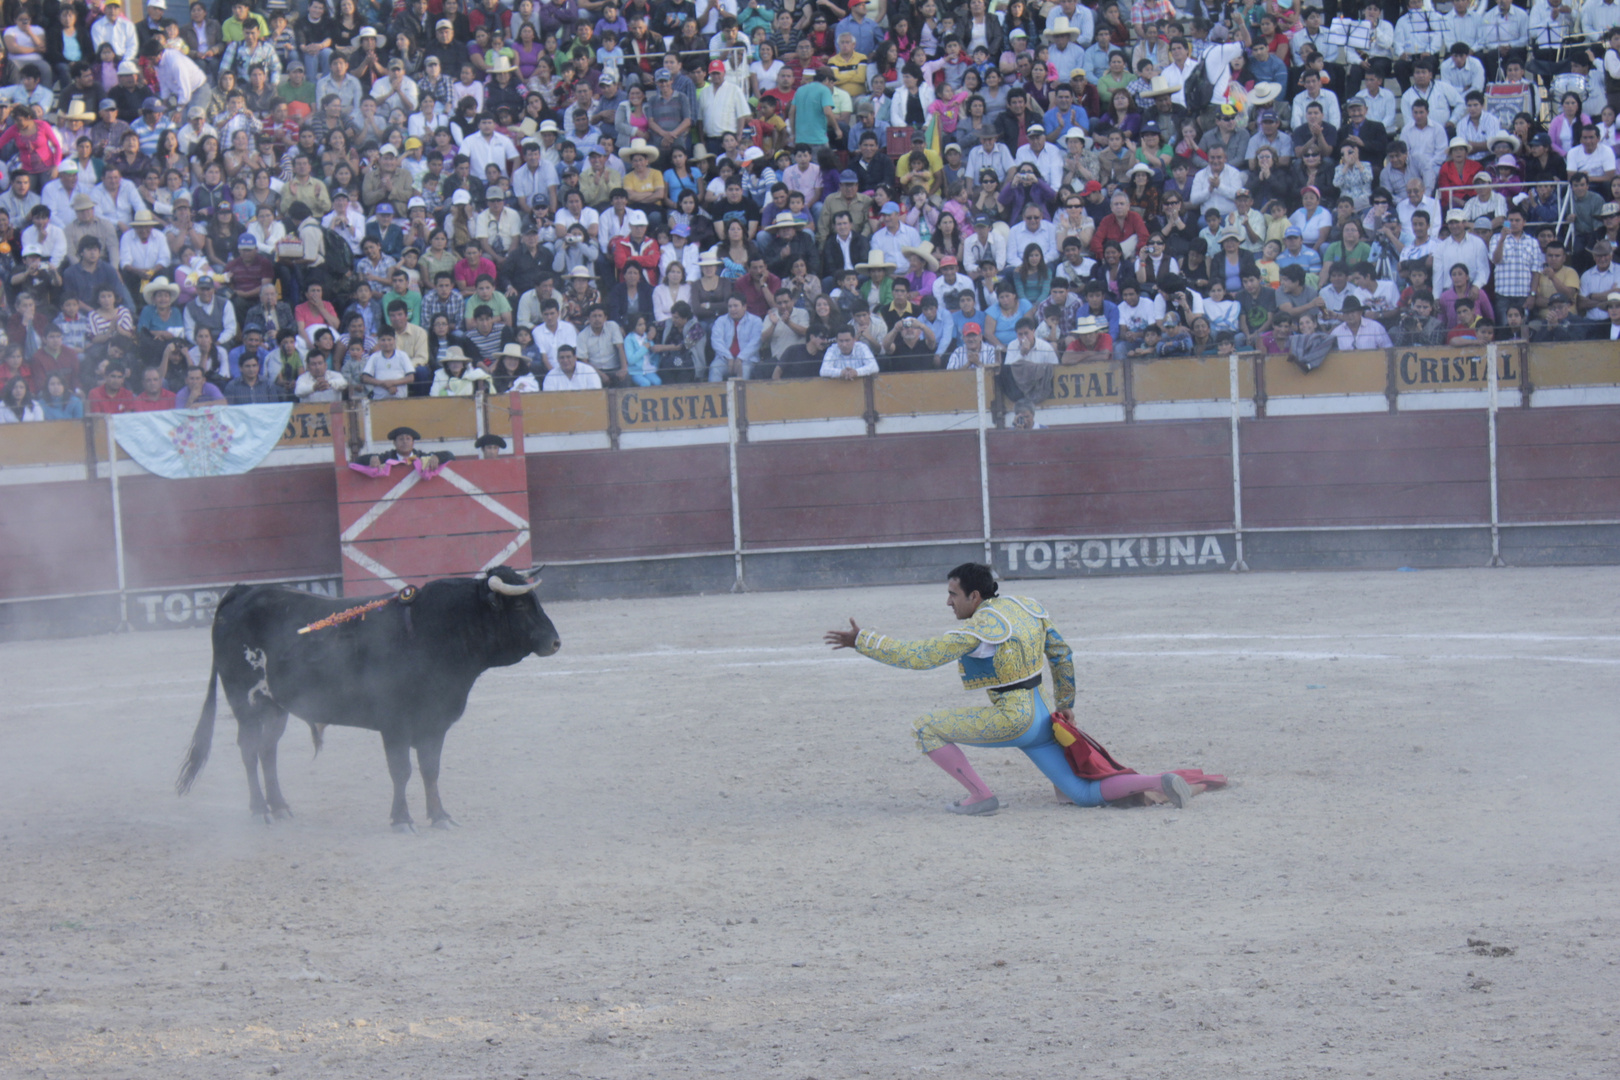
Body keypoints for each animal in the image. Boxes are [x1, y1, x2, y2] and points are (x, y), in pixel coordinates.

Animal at [176, 566, 563, 829]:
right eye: (519, 607)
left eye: (536, 601)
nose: (556, 642)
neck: (433, 631)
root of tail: (243, 591)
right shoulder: (395, 725)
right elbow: (401, 771)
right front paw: (402, 820)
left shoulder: (434, 723)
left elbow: (430, 770)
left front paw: (439, 816)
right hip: (247, 703)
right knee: (248, 750)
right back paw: (259, 811)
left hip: (275, 708)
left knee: (267, 751)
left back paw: (281, 807)